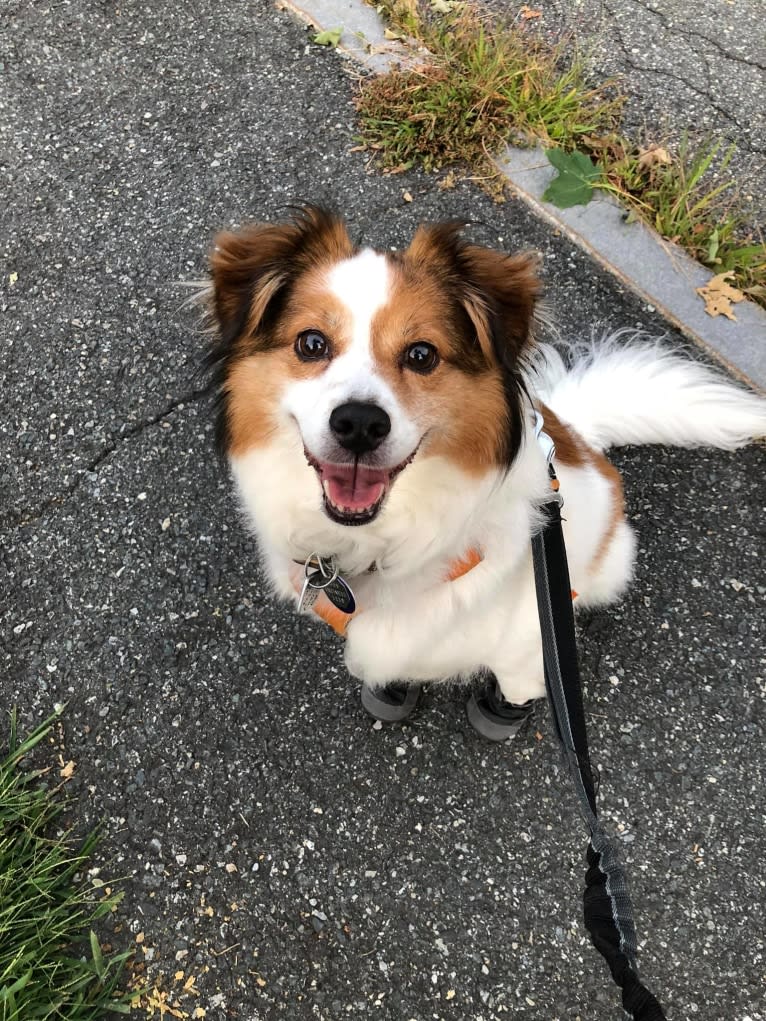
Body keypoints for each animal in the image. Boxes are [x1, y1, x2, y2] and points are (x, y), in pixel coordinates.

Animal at [205, 203, 766, 739]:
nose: (359, 424)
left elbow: (520, 681)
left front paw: (504, 711)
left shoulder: (529, 637)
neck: (388, 544)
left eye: (422, 354)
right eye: (311, 344)